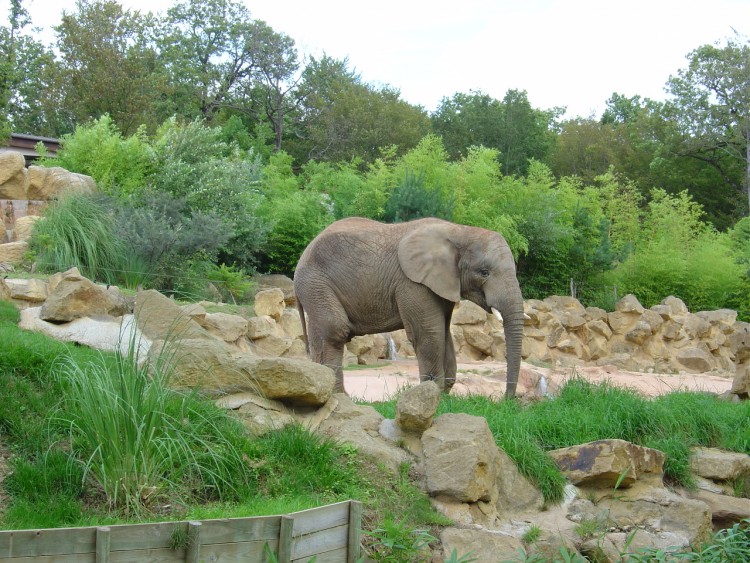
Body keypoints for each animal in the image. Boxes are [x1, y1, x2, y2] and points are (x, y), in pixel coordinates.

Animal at [290, 216, 524, 396]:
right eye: (484, 272)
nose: (507, 400)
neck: (460, 231)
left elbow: (443, 330)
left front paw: (444, 395)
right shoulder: (412, 283)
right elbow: (429, 332)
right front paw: (433, 394)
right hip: (315, 283)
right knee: (335, 330)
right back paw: (338, 397)